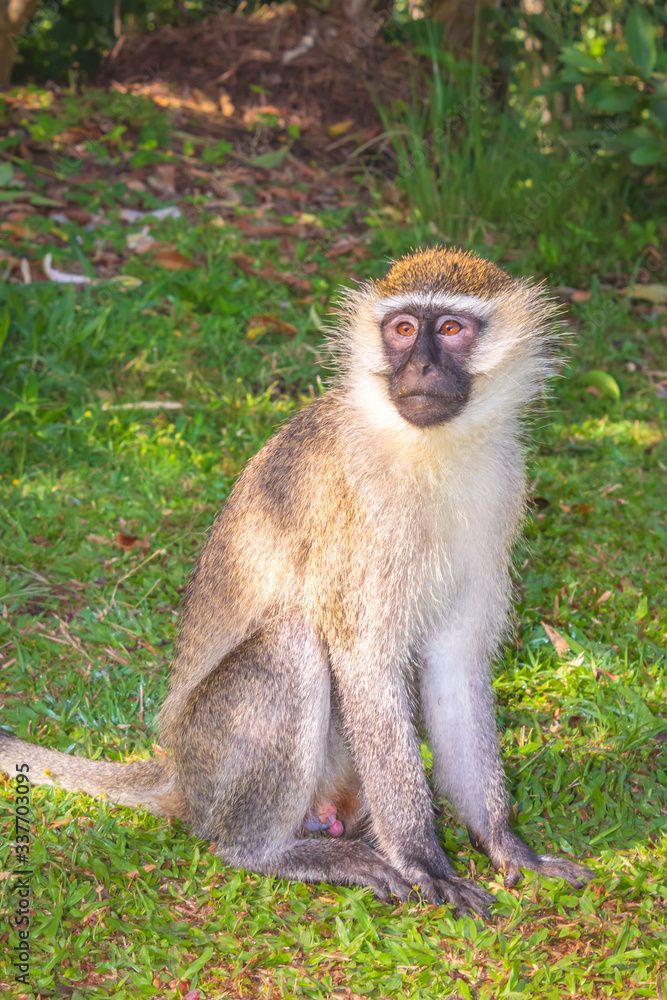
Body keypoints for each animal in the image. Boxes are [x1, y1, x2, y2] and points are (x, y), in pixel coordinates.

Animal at [1, 248, 596, 916]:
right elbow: (364, 659)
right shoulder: (363, 511)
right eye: (403, 329)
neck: (427, 449)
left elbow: (456, 660)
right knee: (289, 647)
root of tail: (178, 770)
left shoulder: (501, 491)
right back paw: (266, 851)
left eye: (450, 329)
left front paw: (503, 842)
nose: (419, 365)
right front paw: (422, 859)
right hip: (216, 759)